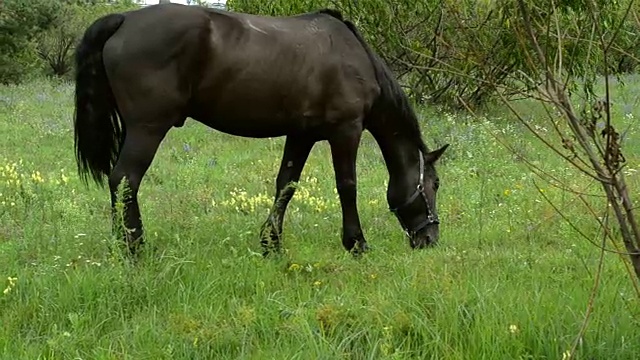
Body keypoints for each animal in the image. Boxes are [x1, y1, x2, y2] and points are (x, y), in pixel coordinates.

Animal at [72, 2, 448, 256]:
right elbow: (347, 186)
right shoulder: (346, 130)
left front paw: (271, 244)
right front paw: (356, 243)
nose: (429, 239)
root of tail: (124, 19)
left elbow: (286, 185)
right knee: (125, 179)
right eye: (435, 184)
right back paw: (134, 247)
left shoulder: (302, 134)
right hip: (147, 128)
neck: (355, 58)